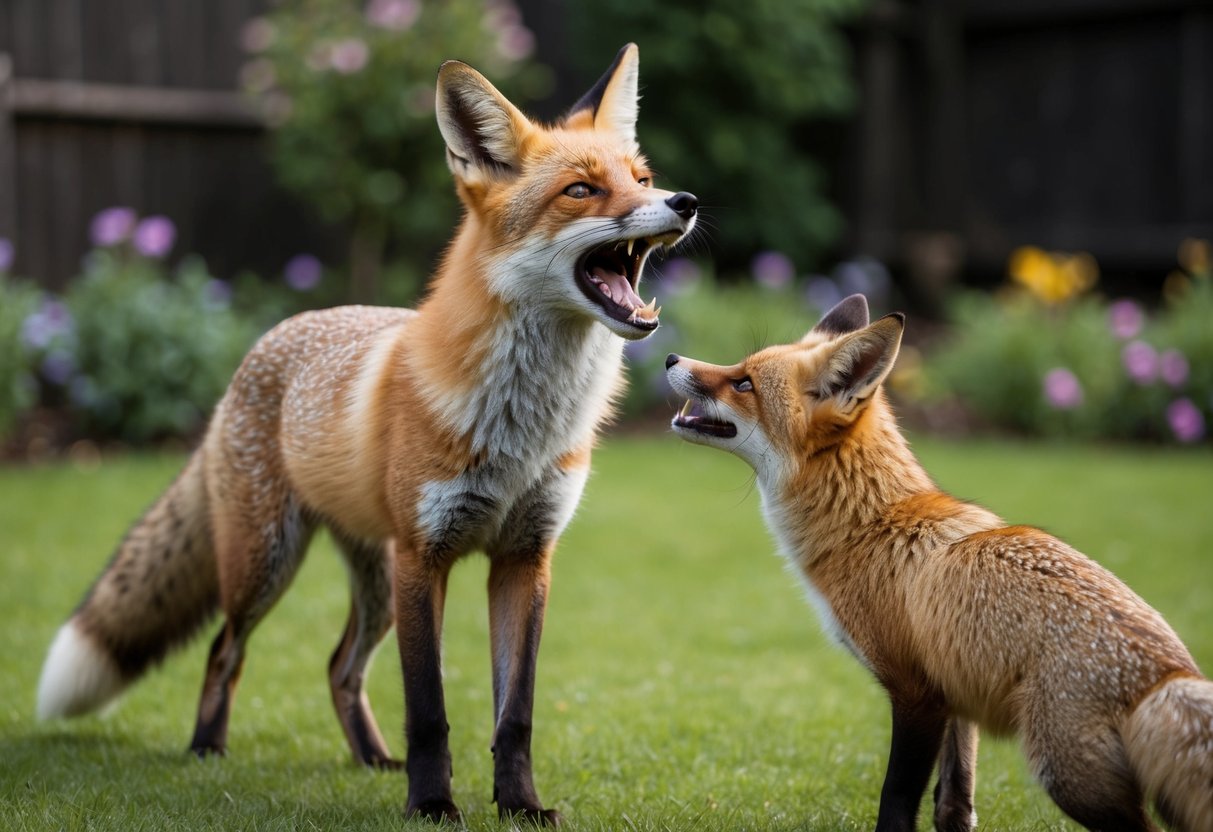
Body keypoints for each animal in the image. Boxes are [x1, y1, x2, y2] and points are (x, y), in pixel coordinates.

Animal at [36, 44, 697, 825]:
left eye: (641, 179)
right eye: (582, 190)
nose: (684, 203)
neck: (523, 425)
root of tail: (265, 343)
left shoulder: (525, 558)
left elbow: (515, 713)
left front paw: (518, 805)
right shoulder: (425, 556)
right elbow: (430, 709)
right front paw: (433, 804)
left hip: (374, 583)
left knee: (338, 667)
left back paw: (372, 758)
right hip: (269, 564)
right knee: (224, 651)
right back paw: (206, 749)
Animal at [666, 294, 1212, 832]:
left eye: (744, 383)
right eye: (738, 367)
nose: (670, 358)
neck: (869, 523)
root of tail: (1168, 673)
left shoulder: (915, 696)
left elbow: (896, 797)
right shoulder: (956, 694)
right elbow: (954, 802)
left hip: (1067, 777)